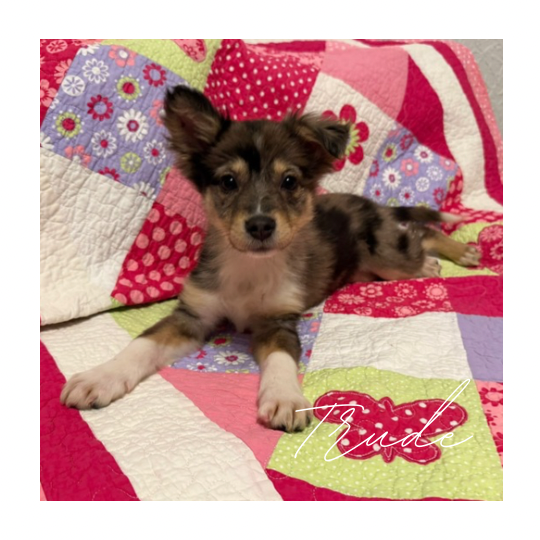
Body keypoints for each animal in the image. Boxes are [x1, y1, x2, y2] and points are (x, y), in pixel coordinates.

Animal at [61, 86, 480, 432]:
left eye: (289, 181)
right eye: (228, 181)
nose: (261, 225)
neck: (249, 267)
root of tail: (370, 203)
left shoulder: (278, 321)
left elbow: (281, 360)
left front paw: (284, 399)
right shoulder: (193, 316)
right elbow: (142, 344)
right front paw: (100, 377)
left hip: (386, 257)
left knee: (419, 234)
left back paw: (455, 252)